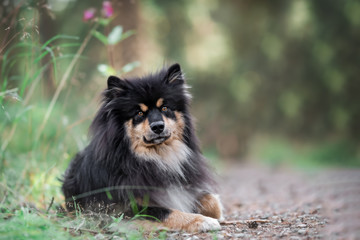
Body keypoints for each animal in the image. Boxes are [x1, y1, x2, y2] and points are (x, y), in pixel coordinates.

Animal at [63, 62, 224, 232]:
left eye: (164, 108)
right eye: (139, 113)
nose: (158, 126)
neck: (157, 156)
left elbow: (212, 201)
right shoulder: (125, 207)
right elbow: (168, 212)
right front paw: (203, 220)